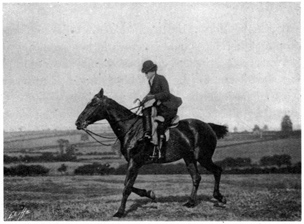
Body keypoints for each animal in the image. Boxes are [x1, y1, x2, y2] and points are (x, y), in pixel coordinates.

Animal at [75, 88, 228, 218]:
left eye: (94, 104)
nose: (78, 123)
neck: (131, 129)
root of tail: (208, 126)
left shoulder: (134, 162)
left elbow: (127, 187)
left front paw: (120, 212)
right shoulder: (134, 163)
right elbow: (128, 185)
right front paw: (149, 193)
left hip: (203, 157)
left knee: (217, 170)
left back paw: (220, 197)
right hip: (189, 158)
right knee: (196, 177)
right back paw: (190, 202)